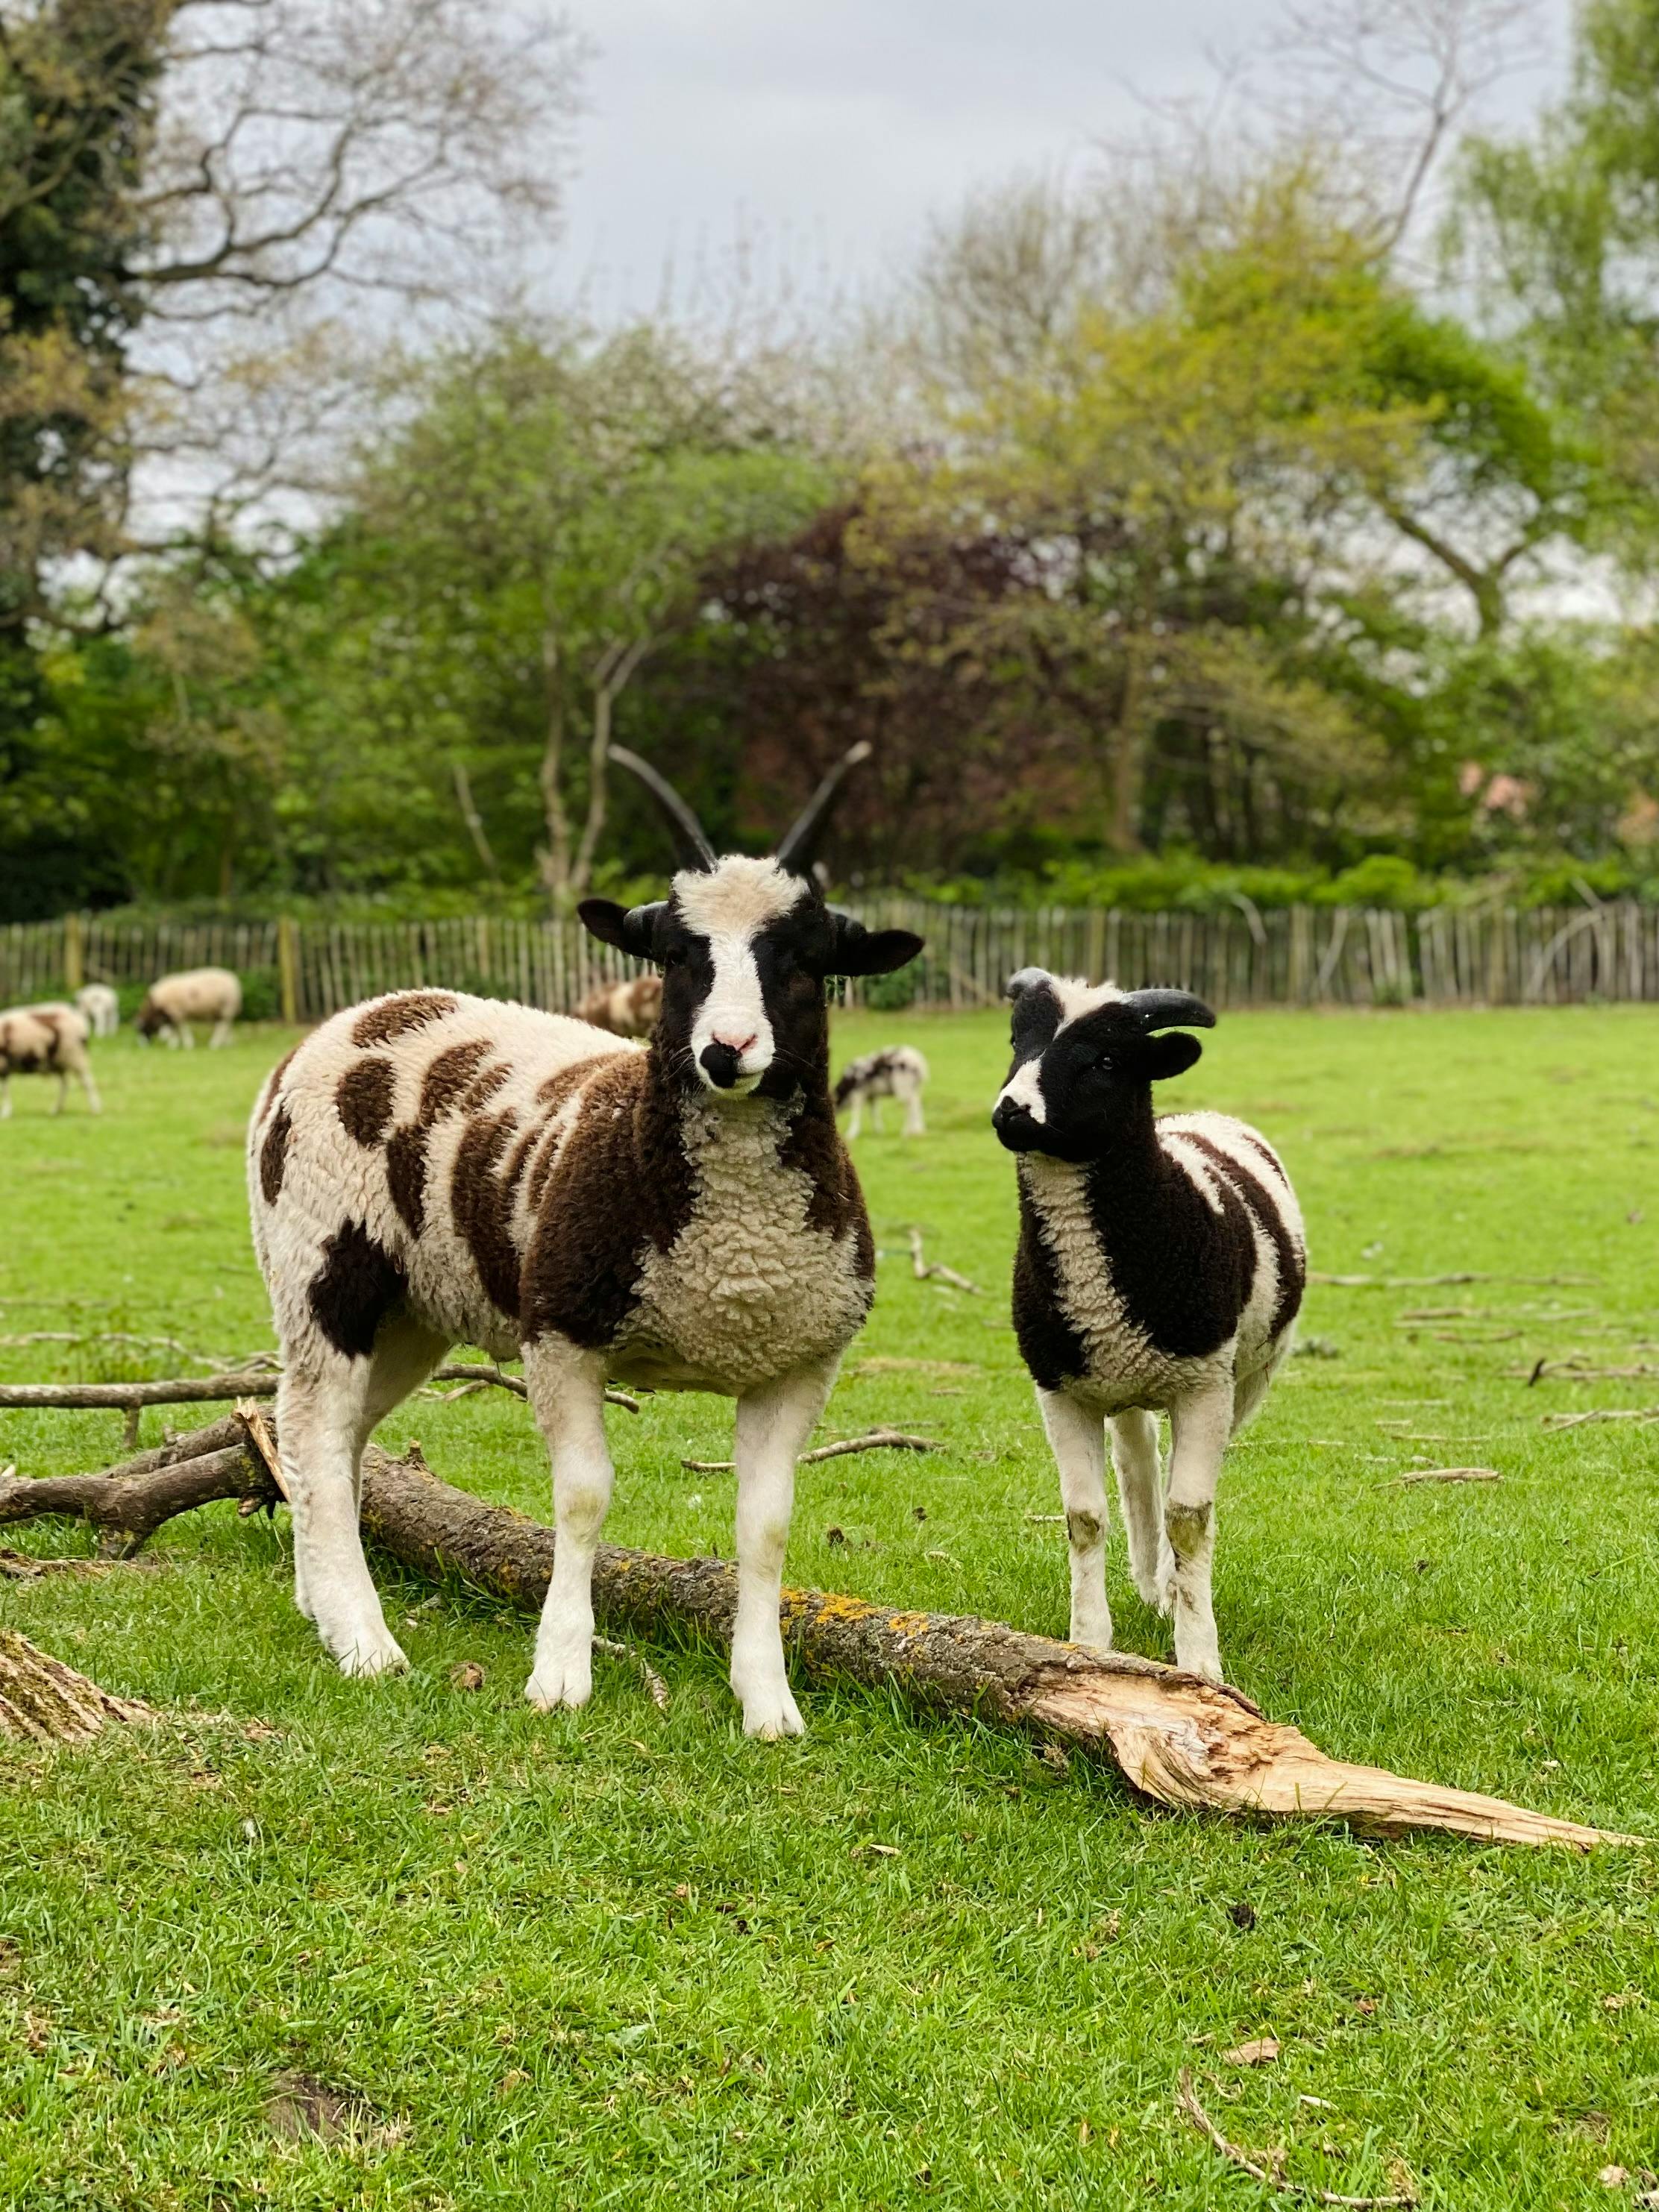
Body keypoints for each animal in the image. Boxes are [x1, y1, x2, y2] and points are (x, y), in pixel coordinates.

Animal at [0, 1002, 100, 1118]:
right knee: (65, 1085)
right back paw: (56, 1110)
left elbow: (4, 1090)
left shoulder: (3, 1064)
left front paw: (6, 1113)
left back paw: (95, 1109)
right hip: (60, 1063)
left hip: (75, 1057)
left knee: (87, 1082)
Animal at [136, 967, 242, 1048]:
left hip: (227, 1008)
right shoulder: (173, 1015)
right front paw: (174, 1044)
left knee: (222, 1027)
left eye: (142, 1030)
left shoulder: (177, 1012)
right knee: (226, 1027)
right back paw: (227, 1044)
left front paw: (185, 1044)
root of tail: (234, 980)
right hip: (220, 1011)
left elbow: (182, 1029)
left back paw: (214, 1045)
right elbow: (176, 1029)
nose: (143, 1046)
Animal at [247, 742, 923, 1736]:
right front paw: (560, 1671)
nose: (726, 1050)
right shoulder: (560, 1330)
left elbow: (765, 1525)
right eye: (677, 953)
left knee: (334, 1436)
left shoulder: (798, 1361)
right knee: (314, 1428)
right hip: (323, 1264)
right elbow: (583, 1495)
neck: (731, 1248)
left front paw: (767, 1698)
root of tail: (355, 1015)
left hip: (411, 1308)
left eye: (804, 958)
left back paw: (319, 1602)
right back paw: (364, 1640)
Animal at [991, 970, 1304, 1683]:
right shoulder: (1058, 1387)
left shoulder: (1205, 1387)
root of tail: (1199, 1118)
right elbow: (1083, 1518)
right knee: (1137, 1460)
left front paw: (1200, 1659)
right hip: (1123, 1380)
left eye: (1106, 1060)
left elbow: (1189, 1518)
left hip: (1247, 1378)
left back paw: (1165, 1583)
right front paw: (1088, 1642)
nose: (1013, 1112)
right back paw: (1145, 1575)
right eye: (1017, 1041)